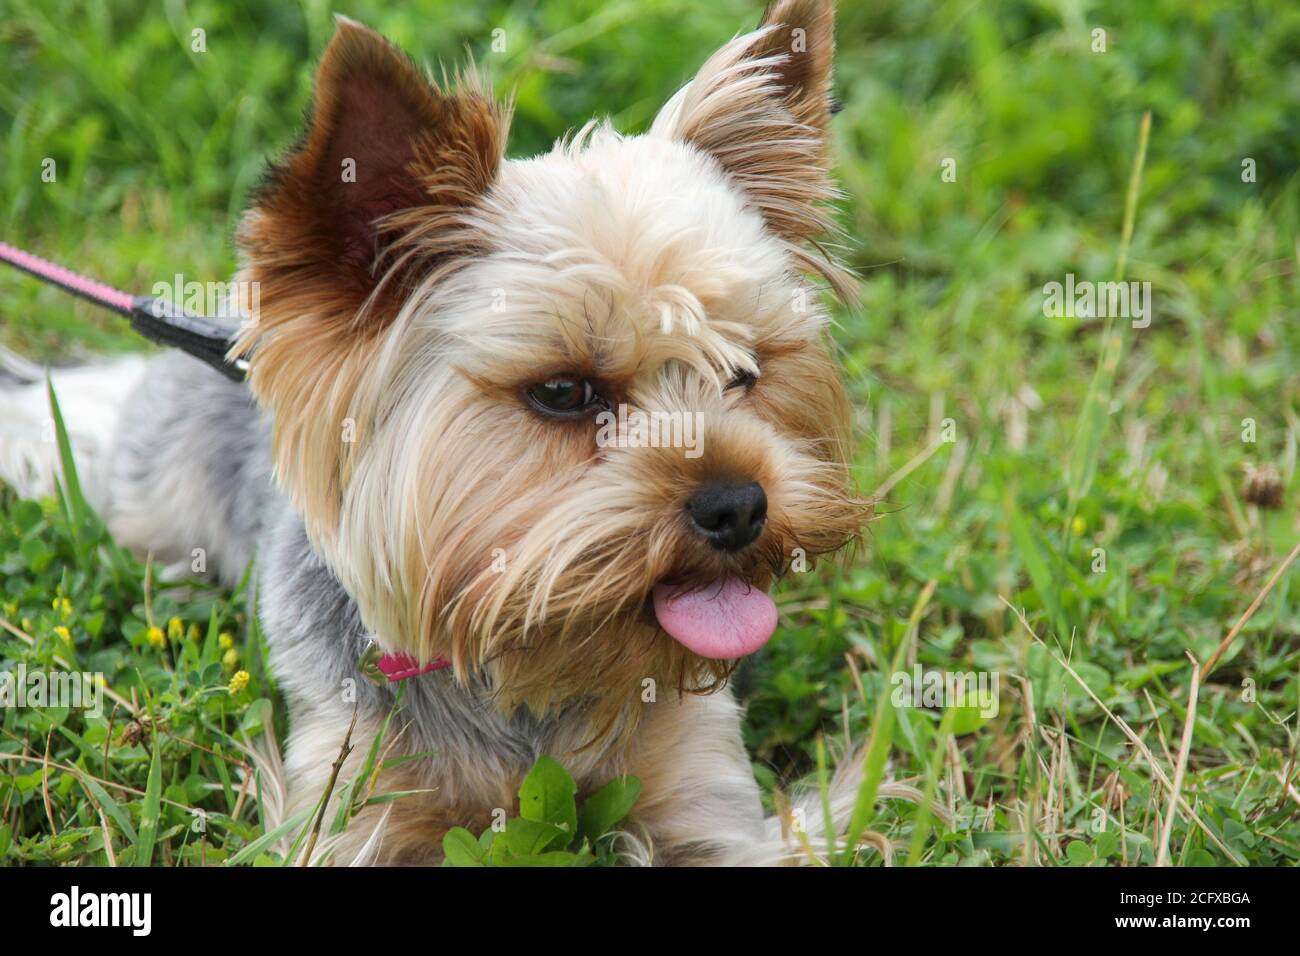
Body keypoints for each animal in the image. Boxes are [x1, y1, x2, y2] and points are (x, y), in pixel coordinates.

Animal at [2, 1, 873, 868]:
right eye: (564, 392)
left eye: (745, 371)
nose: (739, 505)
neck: (528, 674)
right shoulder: (352, 796)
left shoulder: (706, 796)